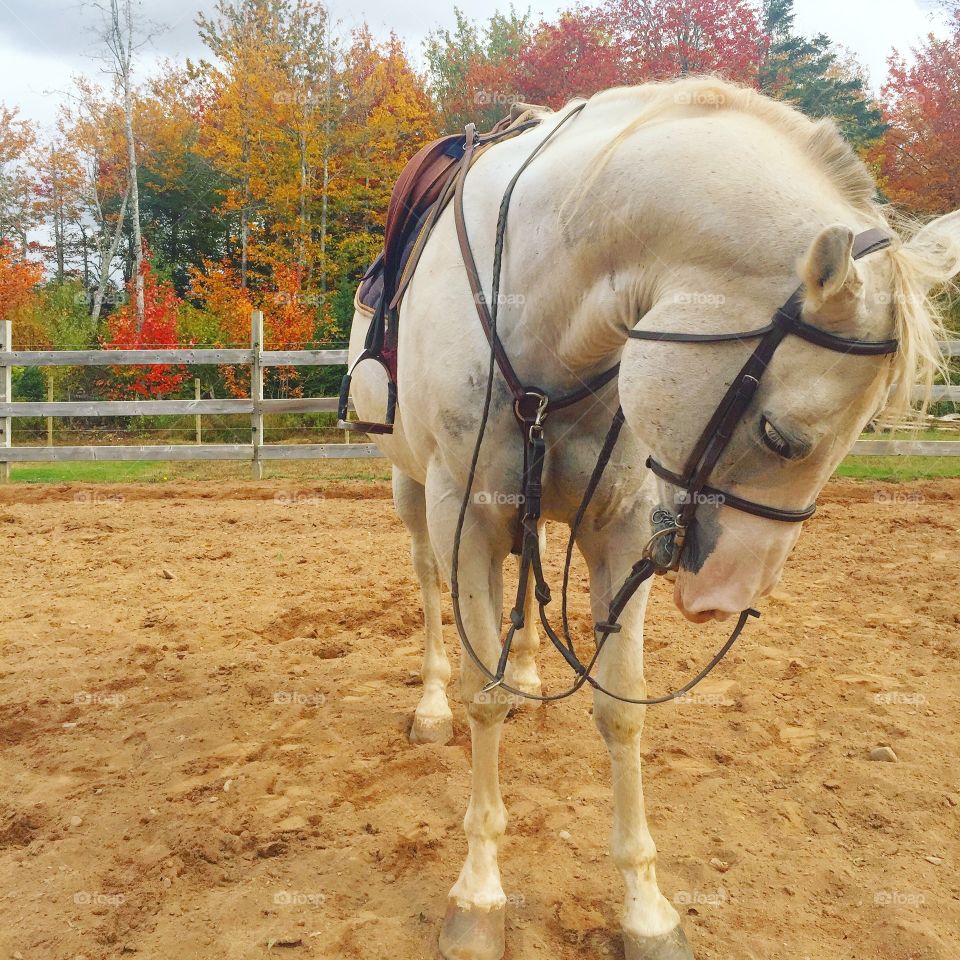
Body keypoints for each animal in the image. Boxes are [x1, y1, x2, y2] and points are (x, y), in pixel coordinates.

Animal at [344, 77, 952, 960]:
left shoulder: (621, 529)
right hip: (412, 489)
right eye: (781, 435)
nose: (726, 599)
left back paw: (531, 672)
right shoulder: (467, 517)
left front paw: (646, 909)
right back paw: (431, 703)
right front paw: (479, 896)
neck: (547, 315)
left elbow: (621, 710)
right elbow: (482, 696)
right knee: (428, 589)